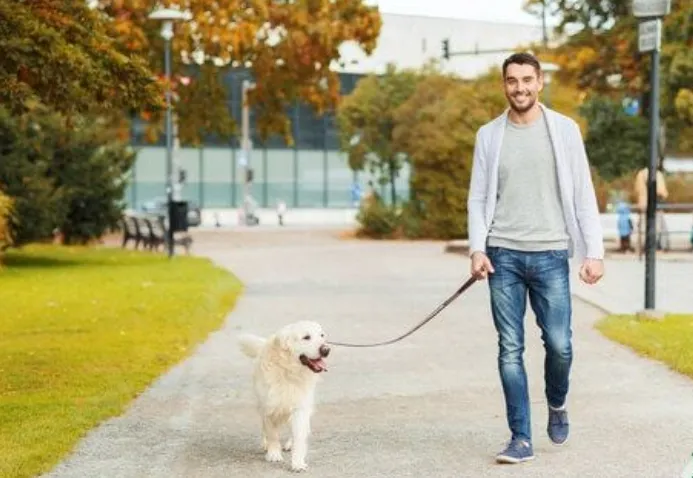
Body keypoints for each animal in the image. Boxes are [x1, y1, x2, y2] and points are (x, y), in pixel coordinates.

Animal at [238, 320, 330, 472]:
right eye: (306, 337)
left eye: (322, 335)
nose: (326, 350)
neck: (289, 371)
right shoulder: (269, 407)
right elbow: (272, 434)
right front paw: (274, 454)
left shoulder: (299, 408)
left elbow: (299, 436)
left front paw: (298, 462)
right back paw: (265, 443)